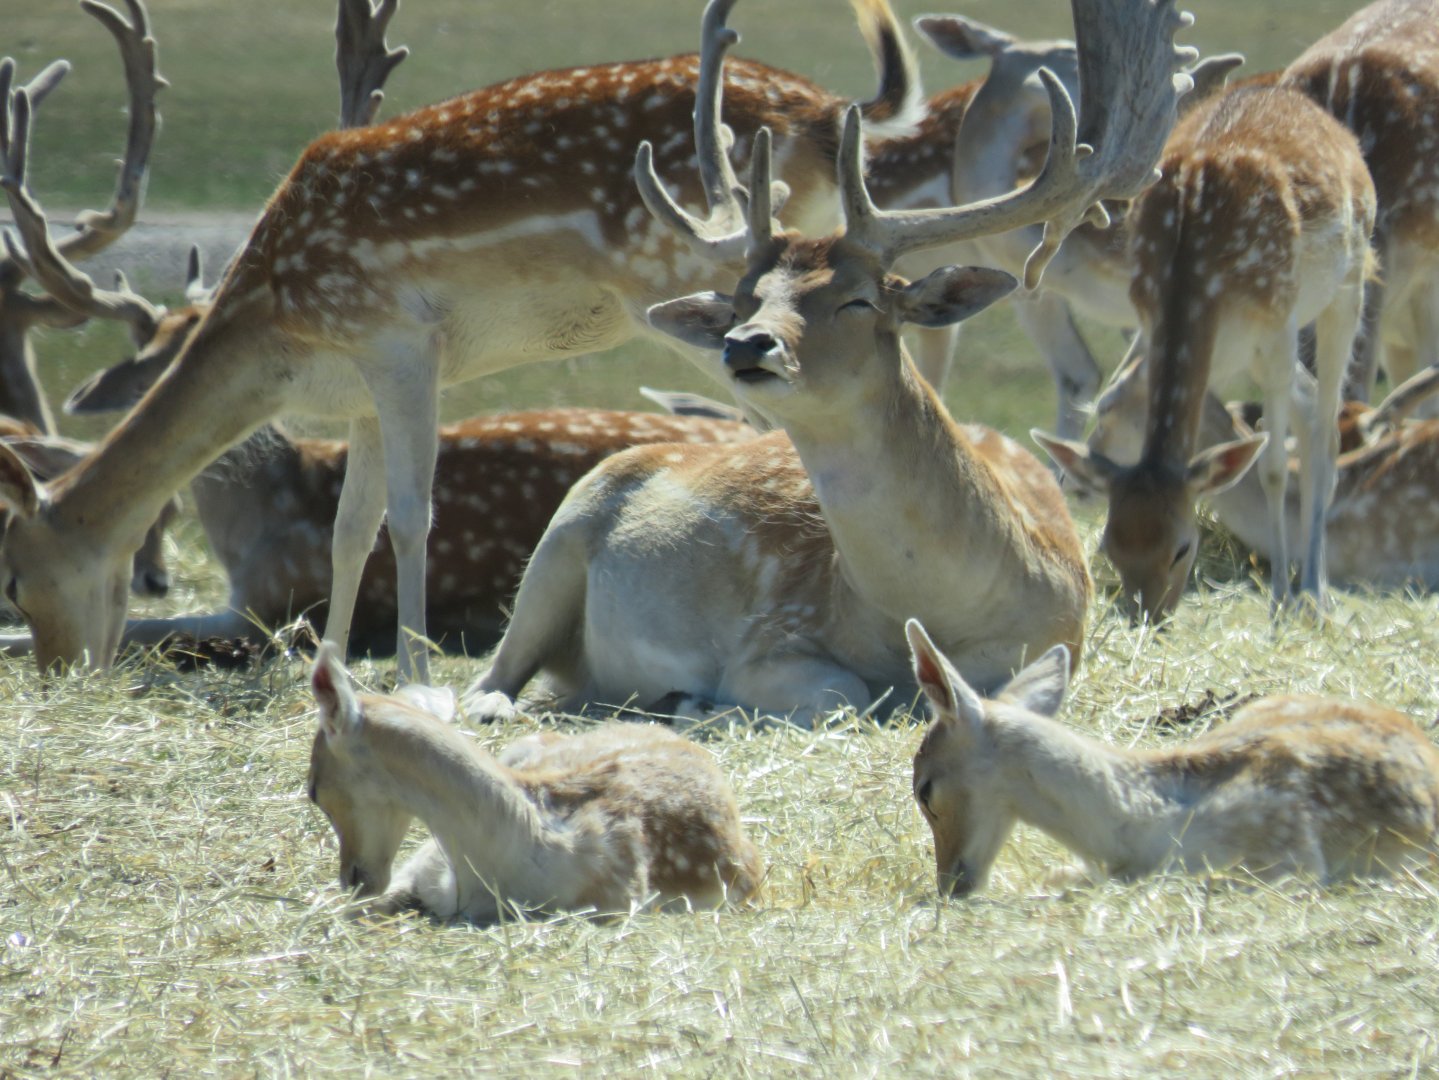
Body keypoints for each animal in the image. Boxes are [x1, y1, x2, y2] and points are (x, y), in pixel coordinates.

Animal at [0, 0, 932, 682]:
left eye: (18, 577)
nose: (58, 672)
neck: (282, 332)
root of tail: (826, 114)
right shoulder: (364, 389)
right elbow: (352, 526)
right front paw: (331, 665)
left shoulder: (399, 342)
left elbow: (412, 515)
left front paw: (413, 677)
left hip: (692, 281)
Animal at [462, 0, 1197, 726]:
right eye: (743, 299)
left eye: (859, 300)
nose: (746, 343)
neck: (927, 614)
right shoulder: (770, 637)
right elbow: (841, 694)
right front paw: (701, 700)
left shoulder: (1053, 639)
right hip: (556, 545)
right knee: (489, 677)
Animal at [1033, 82, 1376, 622]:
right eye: (1111, 545)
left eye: (1182, 548)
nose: (1148, 618)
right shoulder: (1147, 312)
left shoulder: (1277, 323)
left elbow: (1272, 466)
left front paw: (1278, 600)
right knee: (1309, 409)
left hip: (1350, 280)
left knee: (1325, 428)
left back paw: (1313, 592)